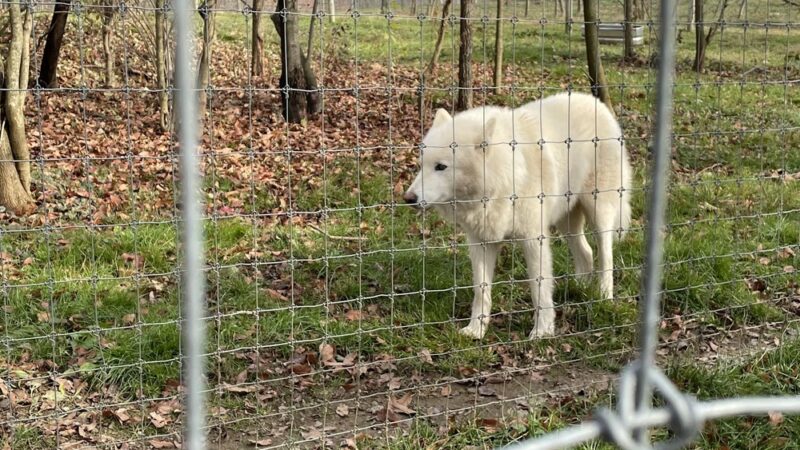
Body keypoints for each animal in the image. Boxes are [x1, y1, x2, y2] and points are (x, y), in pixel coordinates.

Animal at [403, 92, 632, 339]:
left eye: (441, 167)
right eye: (421, 165)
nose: (408, 198)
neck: (501, 178)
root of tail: (595, 102)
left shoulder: (534, 240)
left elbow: (538, 287)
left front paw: (542, 331)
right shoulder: (481, 242)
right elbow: (481, 290)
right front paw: (476, 330)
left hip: (599, 211)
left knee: (605, 255)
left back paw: (603, 296)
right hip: (566, 221)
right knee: (586, 252)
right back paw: (578, 288)